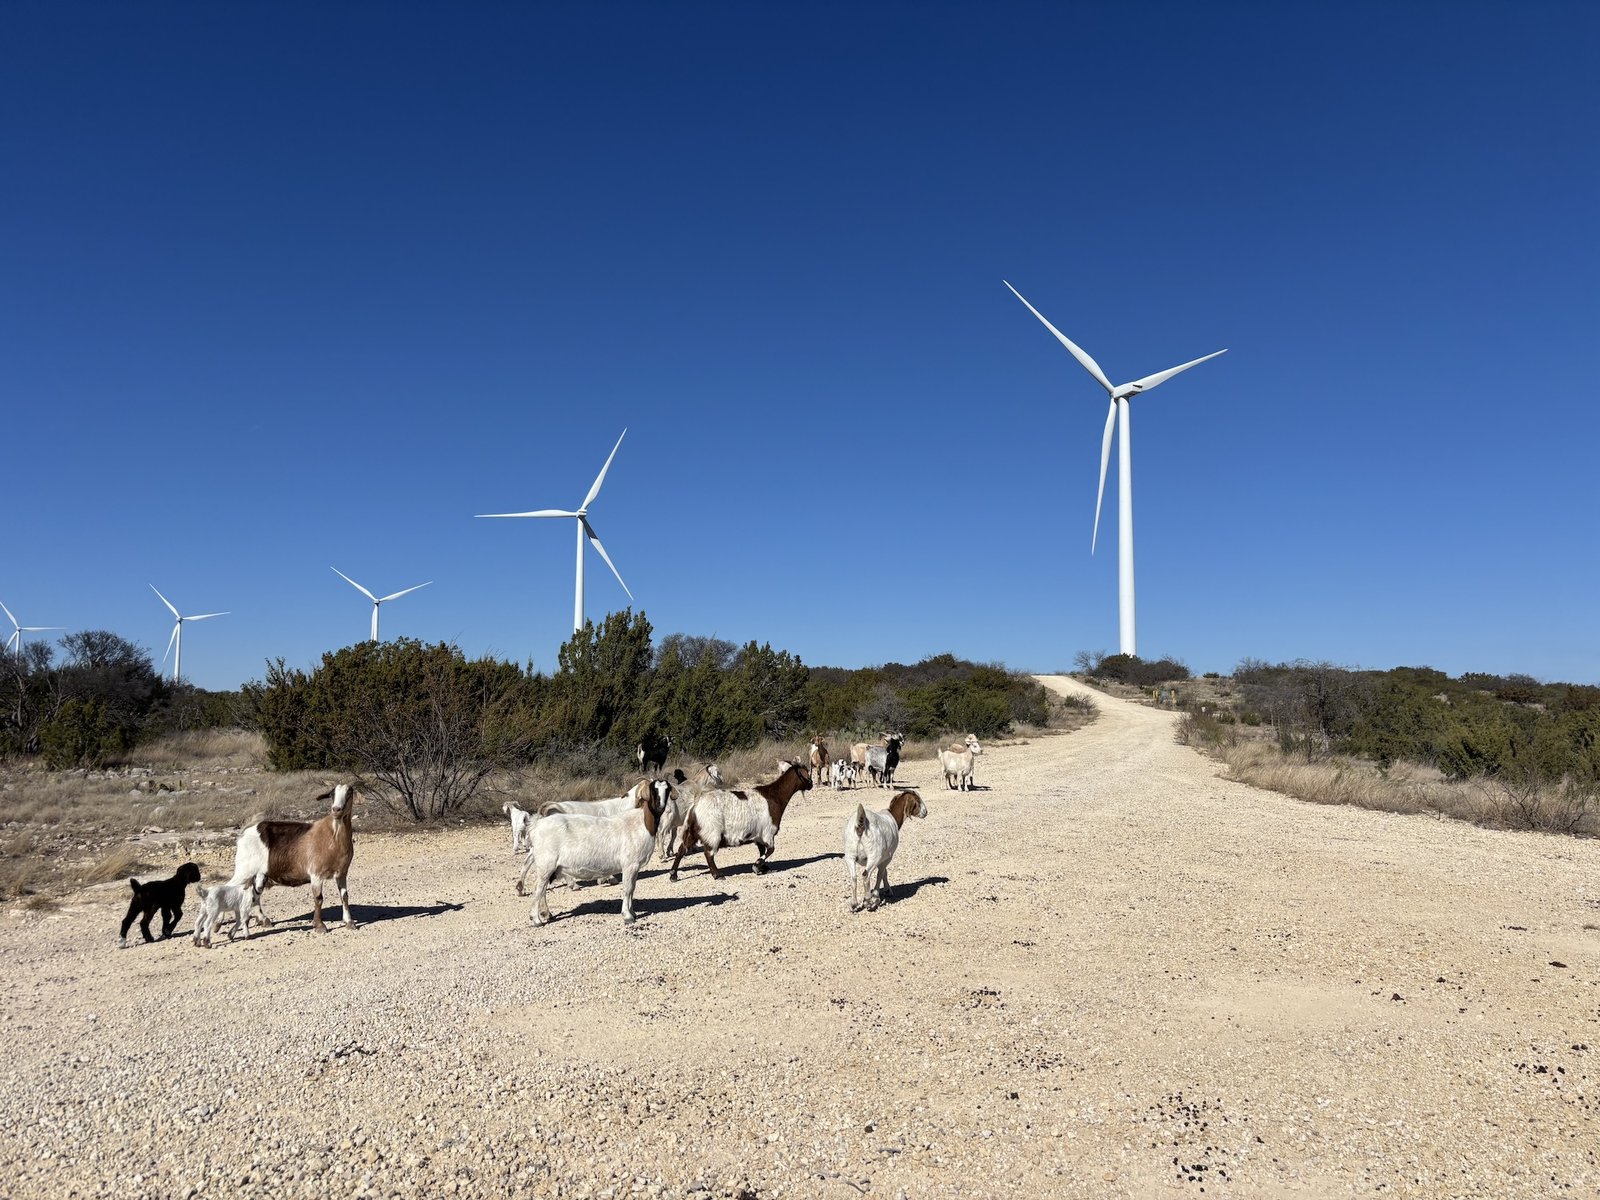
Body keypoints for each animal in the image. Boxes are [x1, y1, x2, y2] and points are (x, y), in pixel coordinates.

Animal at [230, 784, 358, 933]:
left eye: (349, 794)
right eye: (332, 794)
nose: (336, 810)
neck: (334, 835)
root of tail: (245, 832)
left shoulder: (342, 873)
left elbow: (344, 896)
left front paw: (349, 922)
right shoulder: (316, 874)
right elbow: (319, 898)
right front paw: (319, 926)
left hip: (259, 874)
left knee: (255, 894)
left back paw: (264, 920)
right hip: (244, 870)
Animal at [517, 782, 669, 925]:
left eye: (667, 789)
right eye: (653, 790)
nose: (661, 806)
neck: (640, 823)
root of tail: (536, 825)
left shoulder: (634, 867)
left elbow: (632, 889)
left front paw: (633, 913)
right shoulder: (630, 864)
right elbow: (628, 889)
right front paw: (628, 916)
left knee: (542, 888)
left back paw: (545, 913)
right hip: (546, 863)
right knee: (539, 888)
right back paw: (536, 919)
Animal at [669, 762, 812, 881]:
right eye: (806, 773)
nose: (811, 784)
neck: (774, 796)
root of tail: (695, 806)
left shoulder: (758, 835)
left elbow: (762, 850)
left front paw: (763, 868)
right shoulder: (768, 831)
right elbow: (771, 849)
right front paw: (756, 866)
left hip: (692, 831)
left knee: (682, 849)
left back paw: (673, 875)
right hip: (711, 832)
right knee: (708, 853)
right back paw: (717, 875)